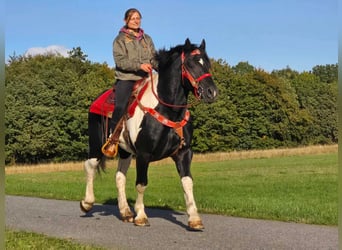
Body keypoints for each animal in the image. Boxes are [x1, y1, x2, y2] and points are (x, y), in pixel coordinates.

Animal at [81, 38, 216, 230]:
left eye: (207, 63)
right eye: (191, 63)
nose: (212, 92)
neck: (166, 109)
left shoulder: (184, 152)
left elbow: (187, 182)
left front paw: (194, 218)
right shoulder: (143, 155)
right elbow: (141, 184)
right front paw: (141, 216)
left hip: (125, 151)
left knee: (120, 176)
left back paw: (125, 212)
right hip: (96, 143)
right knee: (90, 165)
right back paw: (87, 203)